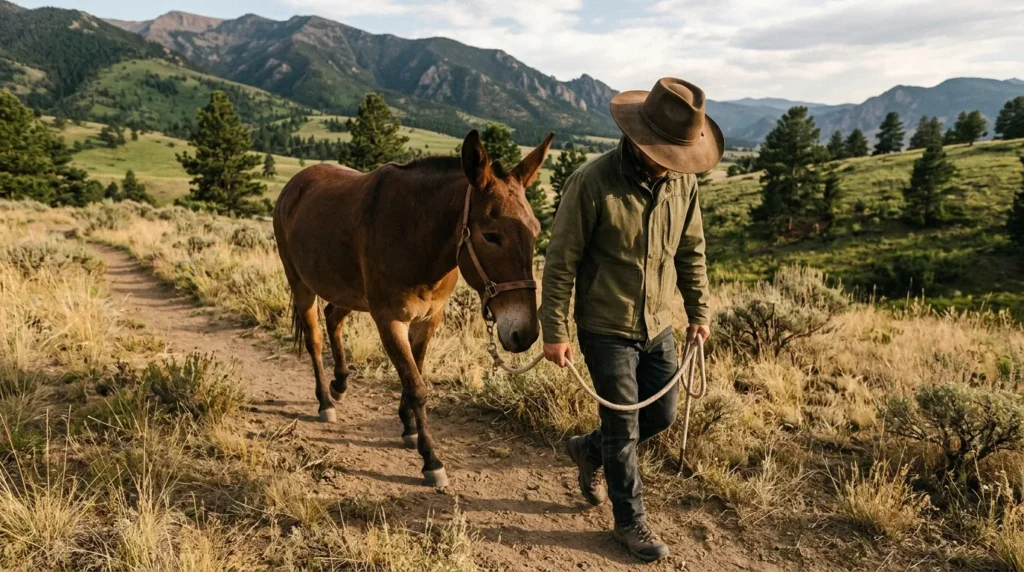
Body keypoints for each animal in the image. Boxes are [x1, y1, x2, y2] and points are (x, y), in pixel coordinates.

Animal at [273, 129, 554, 487]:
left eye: (536, 230)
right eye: (491, 236)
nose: (525, 333)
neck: (416, 234)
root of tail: (296, 183)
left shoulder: (429, 319)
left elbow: (414, 373)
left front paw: (408, 426)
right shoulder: (389, 320)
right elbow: (417, 386)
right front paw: (431, 459)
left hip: (348, 291)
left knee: (333, 318)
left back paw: (340, 384)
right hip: (301, 284)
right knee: (314, 338)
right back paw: (324, 399)